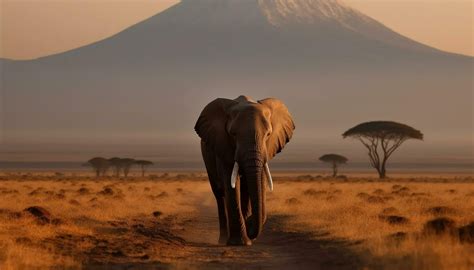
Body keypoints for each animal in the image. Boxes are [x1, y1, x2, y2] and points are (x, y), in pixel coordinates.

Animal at [194, 95, 294, 247]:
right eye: (233, 134)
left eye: (268, 134)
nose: (250, 222)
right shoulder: (223, 147)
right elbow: (231, 185)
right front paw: (239, 242)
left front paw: (248, 234)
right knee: (219, 194)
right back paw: (223, 239)